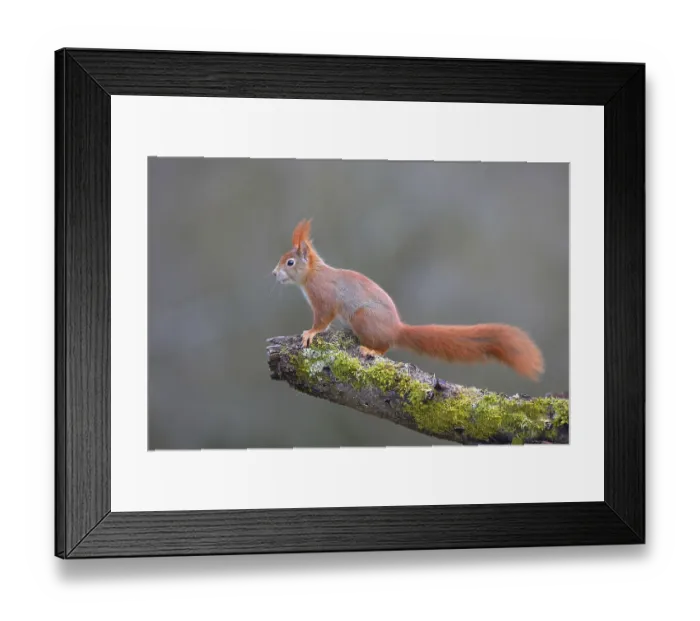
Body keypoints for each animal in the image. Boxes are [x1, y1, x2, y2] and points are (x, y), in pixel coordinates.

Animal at [273, 219, 544, 380]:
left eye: (290, 262)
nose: (274, 274)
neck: (313, 274)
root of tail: (397, 329)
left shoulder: (324, 298)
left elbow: (322, 320)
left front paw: (310, 333)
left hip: (363, 317)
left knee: (384, 347)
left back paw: (370, 349)